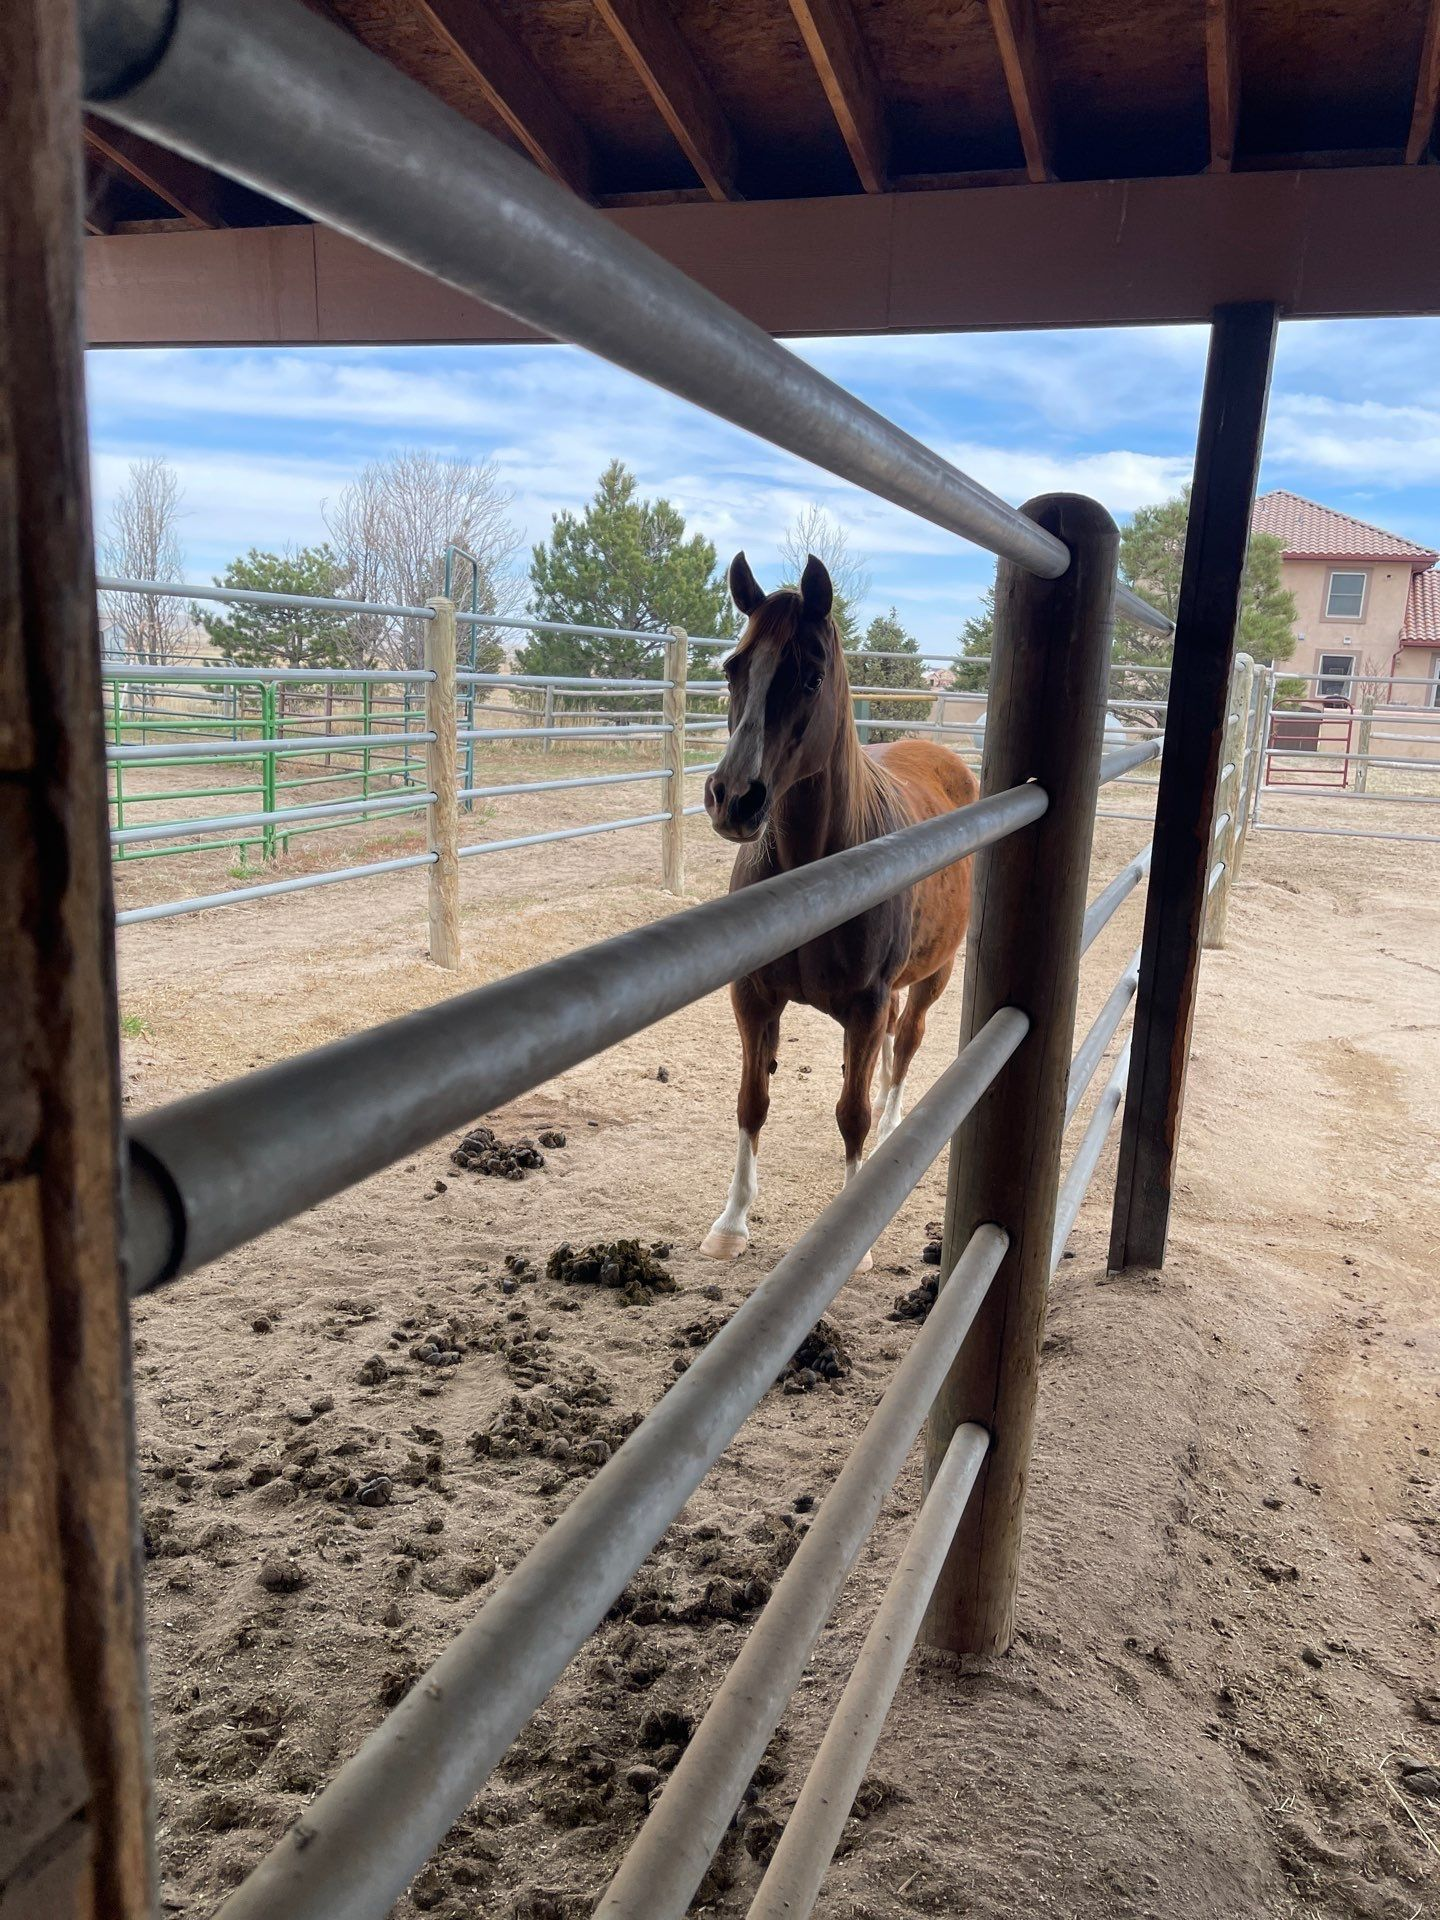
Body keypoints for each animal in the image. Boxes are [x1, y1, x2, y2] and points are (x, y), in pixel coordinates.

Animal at [699, 551, 979, 1267]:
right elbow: (751, 1101)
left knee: (904, 1045)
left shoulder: (867, 1003)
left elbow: (852, 1111)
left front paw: (855, 1236)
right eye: (734, 667)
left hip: (934, 975)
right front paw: (732, 1221)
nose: (733, 797)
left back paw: (888, 1134)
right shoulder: (752, 997)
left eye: (811, 674)